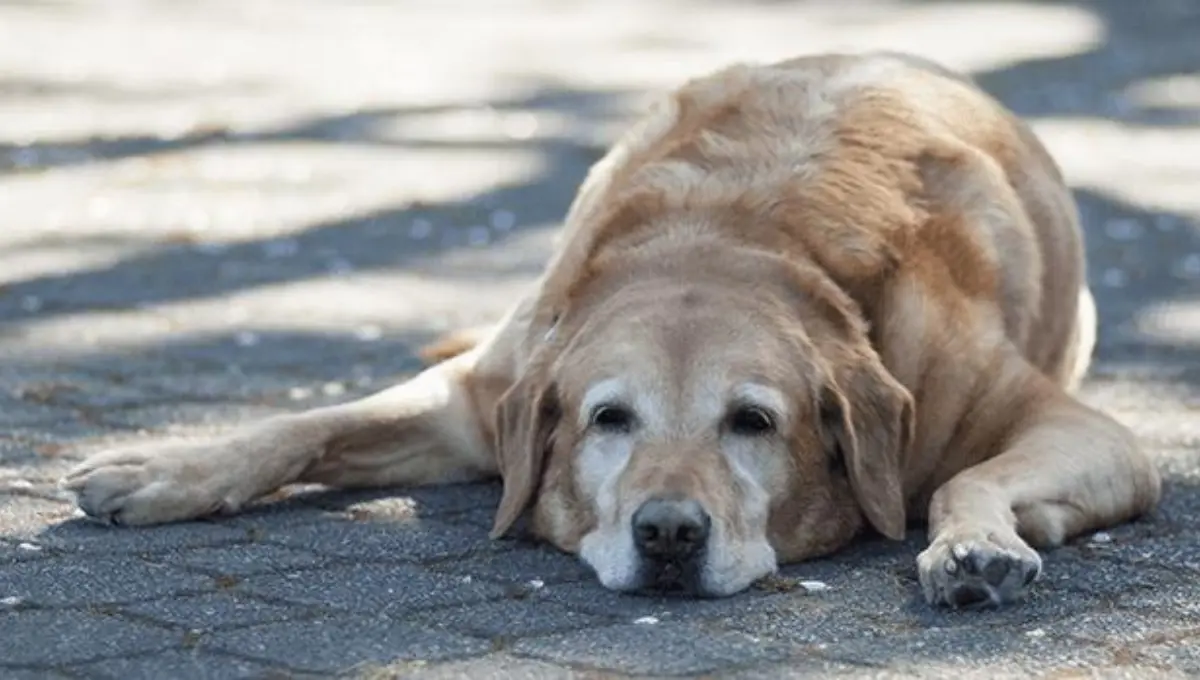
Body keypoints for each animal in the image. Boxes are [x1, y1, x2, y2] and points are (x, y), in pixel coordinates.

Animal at [63, 51, 1161, 606]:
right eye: (608, 418)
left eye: (753, 422)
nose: (668, 533)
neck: (729, 238)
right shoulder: (481, 396)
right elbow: (305, 424)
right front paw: (168, 466)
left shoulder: (1090, 432)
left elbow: (963, 480)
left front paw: (973, 544)